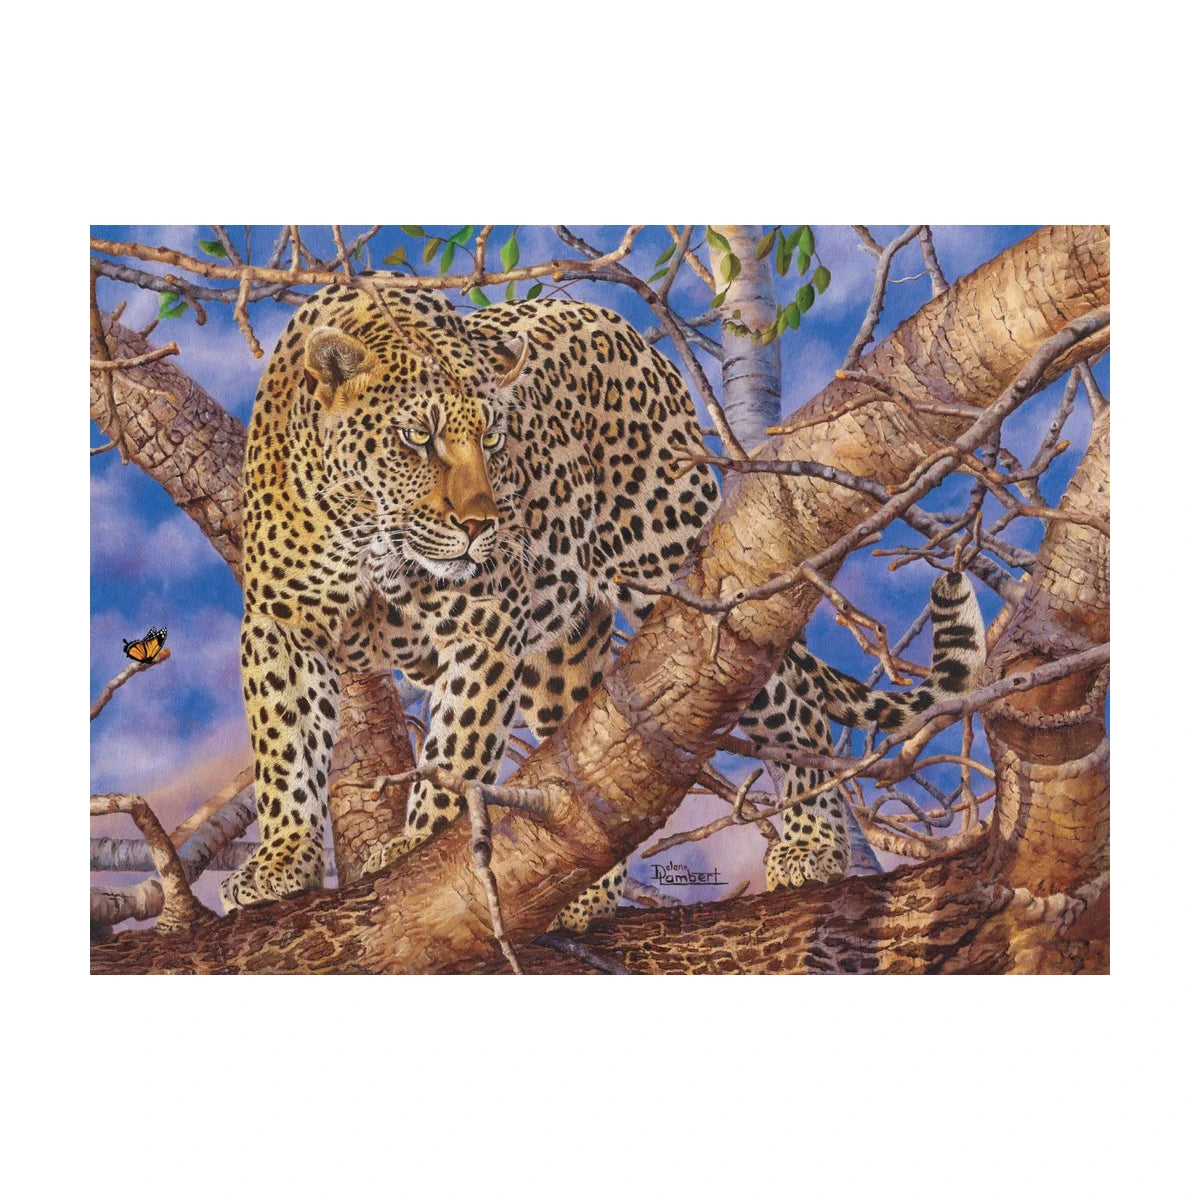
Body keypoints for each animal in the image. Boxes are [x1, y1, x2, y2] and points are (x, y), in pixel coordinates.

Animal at [219, 280, 985, 929]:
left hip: (681, 575)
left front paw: (416, 843)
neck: (369, 533)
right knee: (588, 781)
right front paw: (280, 862)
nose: (481, 525)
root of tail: (630, 333)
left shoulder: (484, 623)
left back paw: (812, 845)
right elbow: (284, 751)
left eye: (492, 438)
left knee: (790, 698)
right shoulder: (278, 624)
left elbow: (456, 750)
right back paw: (583, 894)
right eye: (417, 437)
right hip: (556, 658)